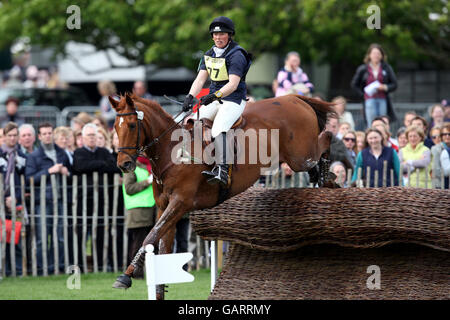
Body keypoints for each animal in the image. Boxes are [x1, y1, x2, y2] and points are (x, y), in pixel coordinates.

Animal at [108, 92, 334, 298]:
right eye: (116, 127)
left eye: (131, 126)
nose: (124, 164)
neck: (173, 151)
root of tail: (294, 98)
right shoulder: (165, 207)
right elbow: (160, 244)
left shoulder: (180, 203)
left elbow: (150, 237)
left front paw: (126, 276)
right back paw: (325, 178)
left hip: (300, 157)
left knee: (327, 138)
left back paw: (326, 174)